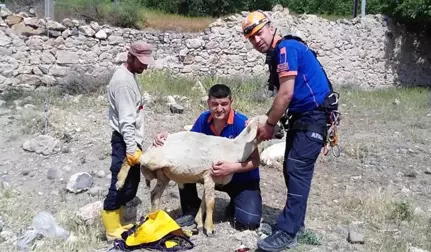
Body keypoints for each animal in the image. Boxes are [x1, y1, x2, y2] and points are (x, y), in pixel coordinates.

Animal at [116, 114, 282, 236]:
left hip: (163, 174)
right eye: (269, 122)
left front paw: (199, 223)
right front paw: (209, 229)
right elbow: (210, 203)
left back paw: (153, 217)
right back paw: (119, 182)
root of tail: (152, 146)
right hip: (153, 160)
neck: (235, 148)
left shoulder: (207, 178)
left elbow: (203, 202)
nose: (282, 132)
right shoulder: (210, 175)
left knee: (154, 194)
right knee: (134, 158)